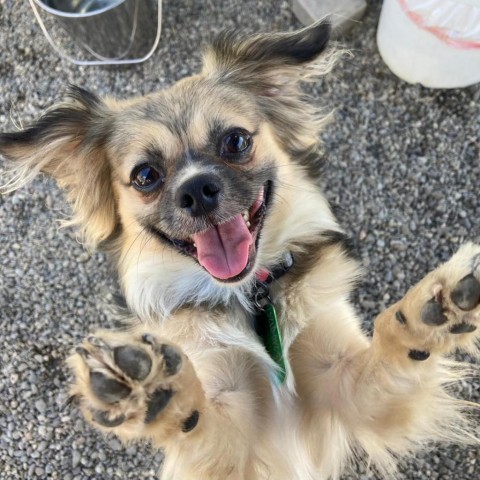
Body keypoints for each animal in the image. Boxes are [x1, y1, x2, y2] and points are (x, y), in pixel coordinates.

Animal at [0, 18, 480, 480]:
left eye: (235, 141)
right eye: (145, 175)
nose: (196, 189)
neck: (249, 299)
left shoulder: (345, 383)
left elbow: (389, 352)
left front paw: (436, 307)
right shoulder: (234, 435)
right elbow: (199, 422)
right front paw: (153, 388)